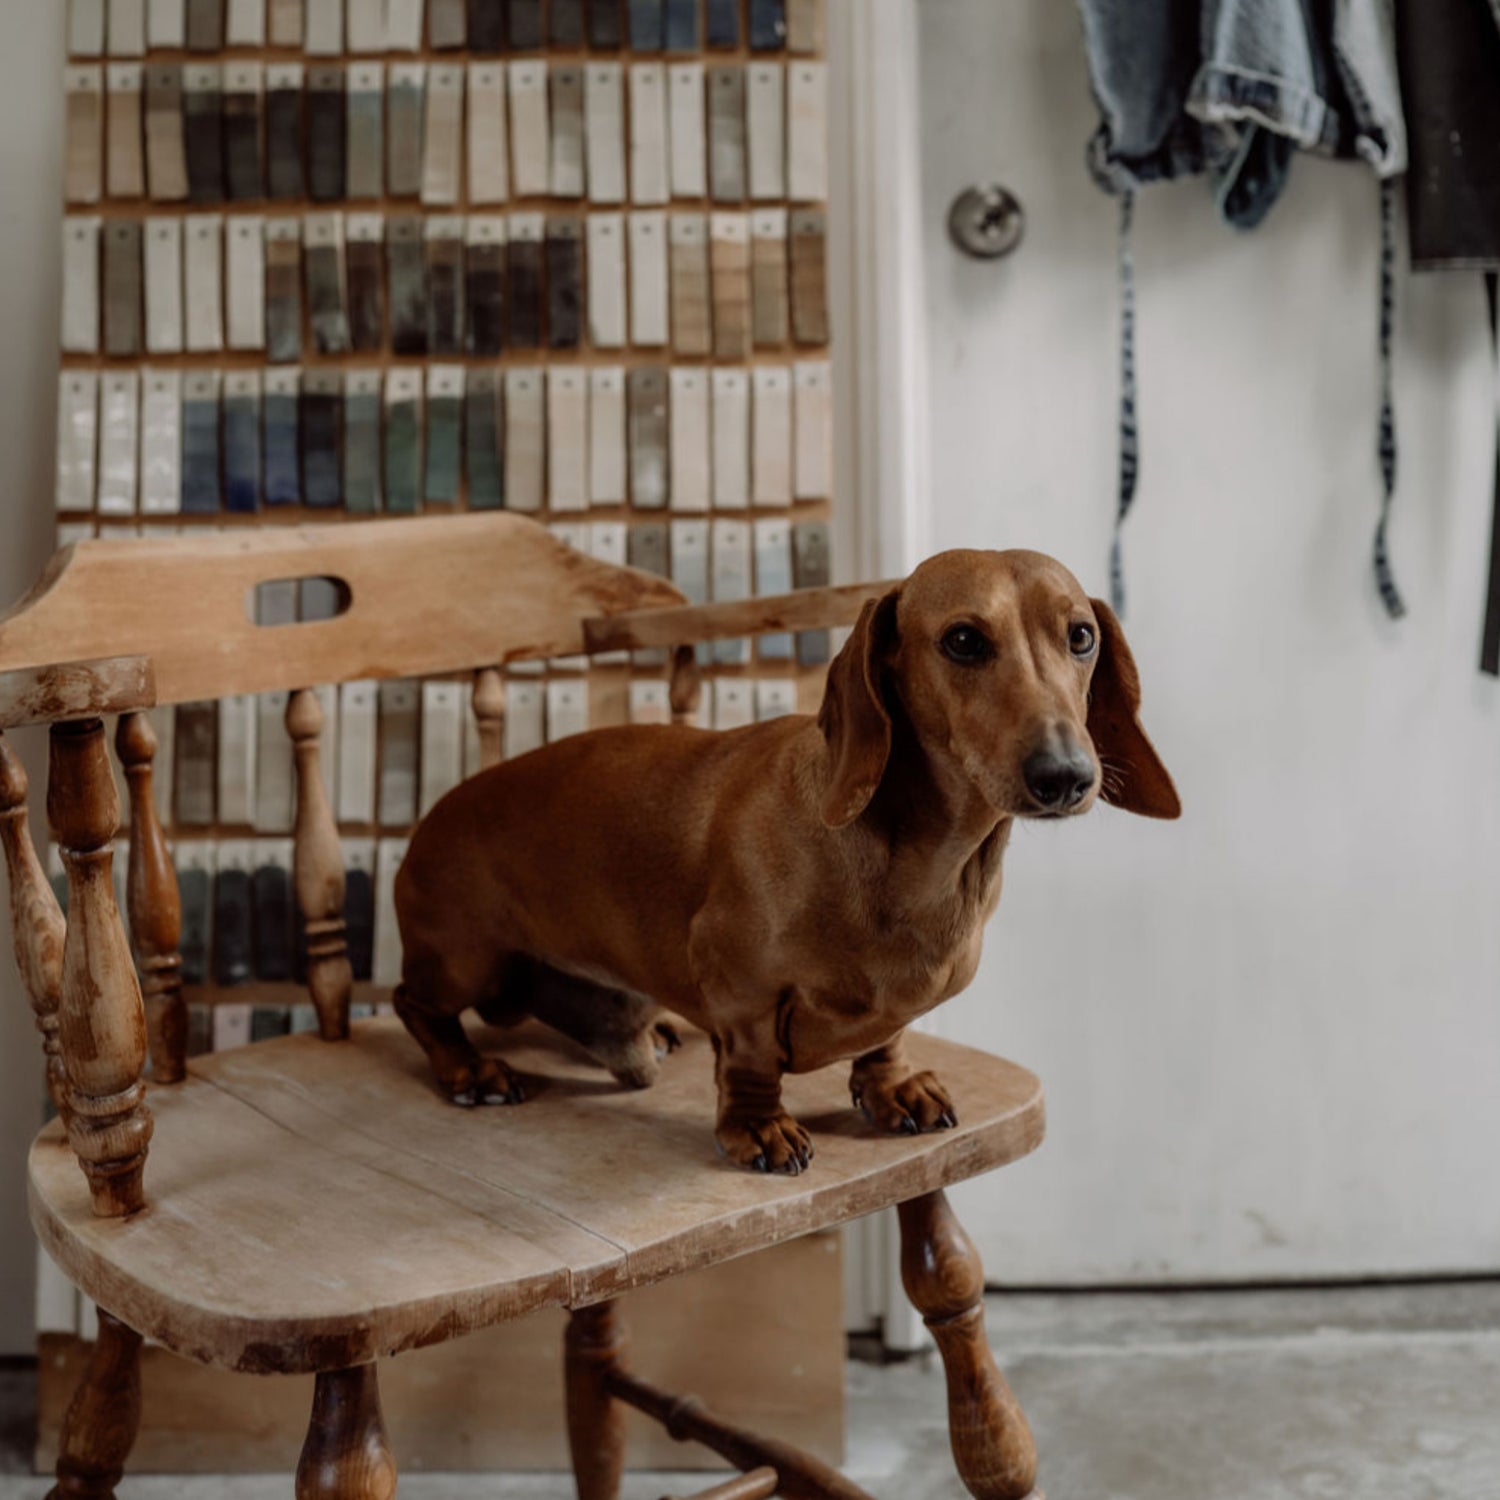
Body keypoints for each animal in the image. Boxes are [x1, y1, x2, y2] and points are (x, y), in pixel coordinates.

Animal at [393, 552, 1176, 1170]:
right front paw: (758, 1129)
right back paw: (470, 1068)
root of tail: (433, 816)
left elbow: (886, 1038)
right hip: (467, 959)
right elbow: (749, 1061)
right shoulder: (739, 987)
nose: (1066, 777)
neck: (917, 866)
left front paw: (893, 1088)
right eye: (962, 640)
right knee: (414, 1004)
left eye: (1081, 636)